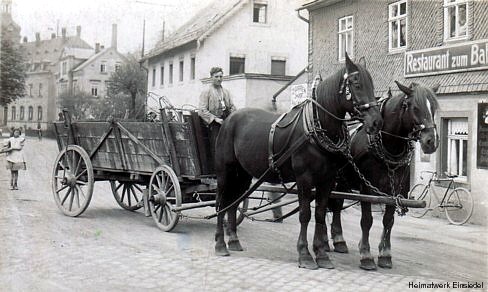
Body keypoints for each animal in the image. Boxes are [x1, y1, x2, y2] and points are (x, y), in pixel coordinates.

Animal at [215, 54, 384, 270]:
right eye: (356, 83)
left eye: (371, 84)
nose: (376, 122)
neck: (315, 128)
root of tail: (229, 119)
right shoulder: (304, 178)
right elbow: (304, 214)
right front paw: (305, 254)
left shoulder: (327, 180)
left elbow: (319, 214)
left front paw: (321, 254)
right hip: (225, 171)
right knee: (221, 202)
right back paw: (220, 244)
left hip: (243, 174)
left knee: (234, 202)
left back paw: (234, 240)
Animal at [330, 81, 440, 270]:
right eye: (415, 107)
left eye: (433, 107)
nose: (431, 142)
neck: (389, 146)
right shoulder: (366, 189)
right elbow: (367, 220)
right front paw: (366, 255)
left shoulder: (393, 190)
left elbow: (388, 220)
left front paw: (385, 254)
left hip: (343, 181)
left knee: (336, 204)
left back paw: (339, 241)